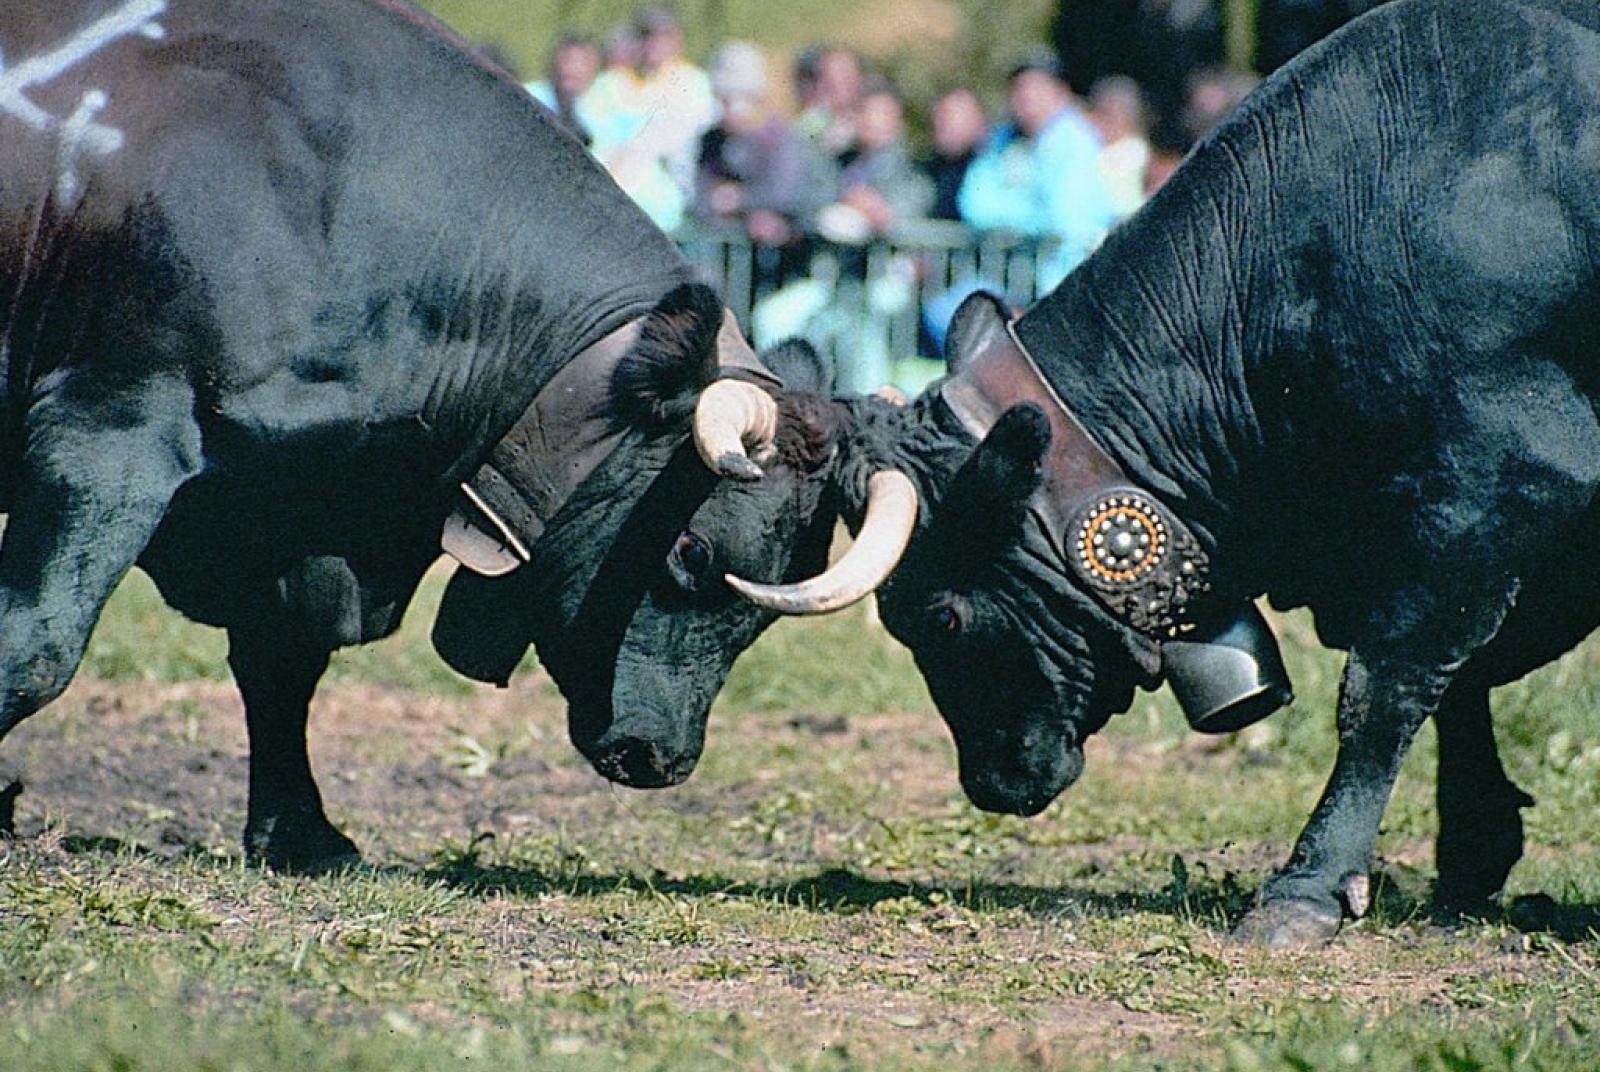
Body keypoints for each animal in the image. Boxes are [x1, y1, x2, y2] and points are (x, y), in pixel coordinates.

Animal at [0, 0, 851, 870]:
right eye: (692, 550)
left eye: (765, 613)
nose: (661, 758)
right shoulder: (107, 429)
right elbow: (36, 645)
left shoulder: (288, 510)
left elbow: (282, 660)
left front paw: (302, 831)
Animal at [710, 2, 1600, 947]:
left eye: (936, 617)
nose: (986, 783)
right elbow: (1462, 680)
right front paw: (1471, 851)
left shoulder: (1497, 479)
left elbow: (1385, 686)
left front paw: (1308, 886)